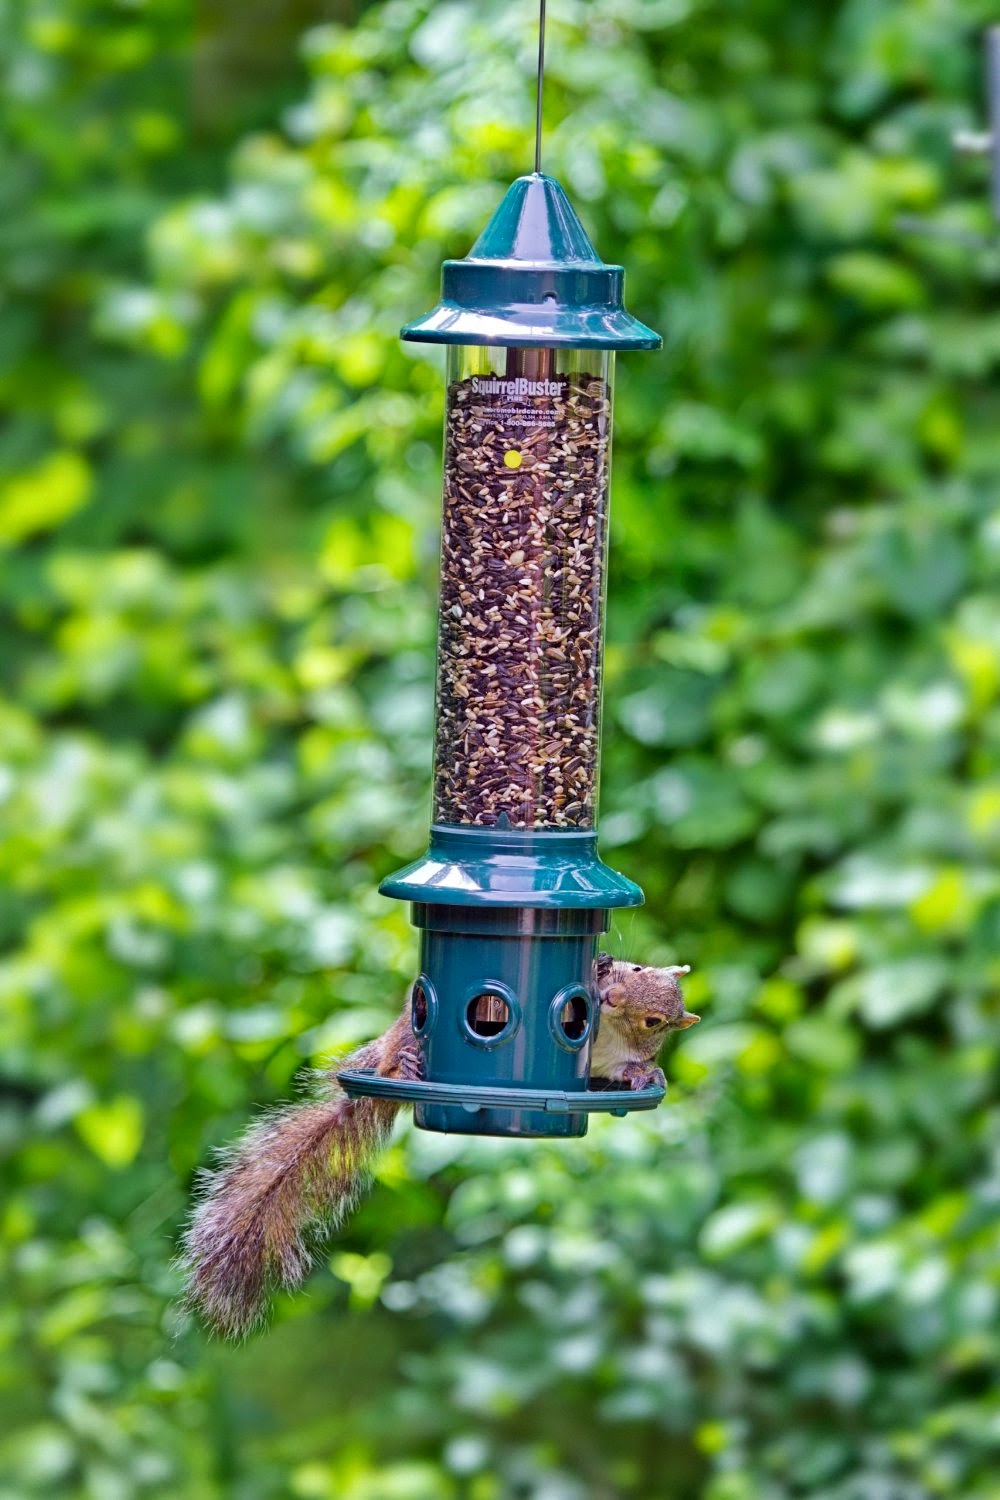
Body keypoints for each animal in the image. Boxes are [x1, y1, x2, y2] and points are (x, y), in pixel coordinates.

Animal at [181, 954, 698, 1339]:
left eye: (654, 1021)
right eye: (637, 970)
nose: (611, 997)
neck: (608, 1030)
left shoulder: (611, 1066)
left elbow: (628, 1071)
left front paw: (648, 1075)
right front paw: (600, 963)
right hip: (404, 1033)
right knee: (390, 1063)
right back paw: (404, 1067)